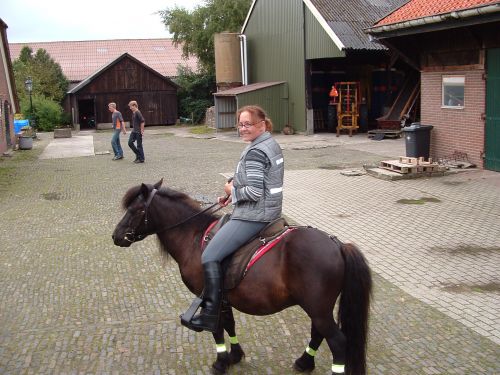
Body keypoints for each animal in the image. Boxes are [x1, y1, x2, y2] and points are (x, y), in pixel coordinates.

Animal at [113, 181, 372, 374]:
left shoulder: (209, 297)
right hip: (318, 309)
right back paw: (304, 362)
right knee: (318, 333)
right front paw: (235, 356)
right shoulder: (223, 297)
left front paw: (220, 363)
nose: (116, 236)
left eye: (136, 210)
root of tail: (337, 244)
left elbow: (216, 328)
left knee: (337, 342)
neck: (194, 238)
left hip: (317, 308)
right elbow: (229, 324)